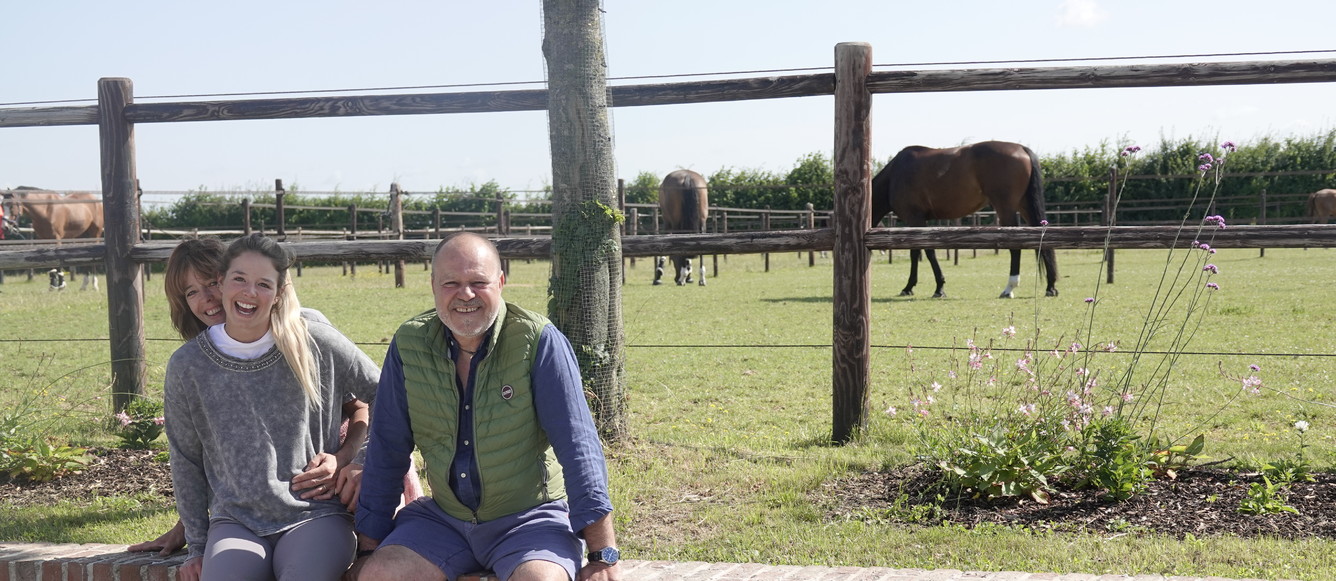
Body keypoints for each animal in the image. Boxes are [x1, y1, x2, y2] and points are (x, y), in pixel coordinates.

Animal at [871, 138, 1058, 297]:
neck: (894, 176)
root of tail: (1022, 149)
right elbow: (919, 252)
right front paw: (914, 287)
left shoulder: (915, 219)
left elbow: (924, 251)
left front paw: (934, 288)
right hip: (1025, 206)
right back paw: (1050, 286)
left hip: (1006, 208)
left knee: (1015, 246)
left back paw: (1009, 288)